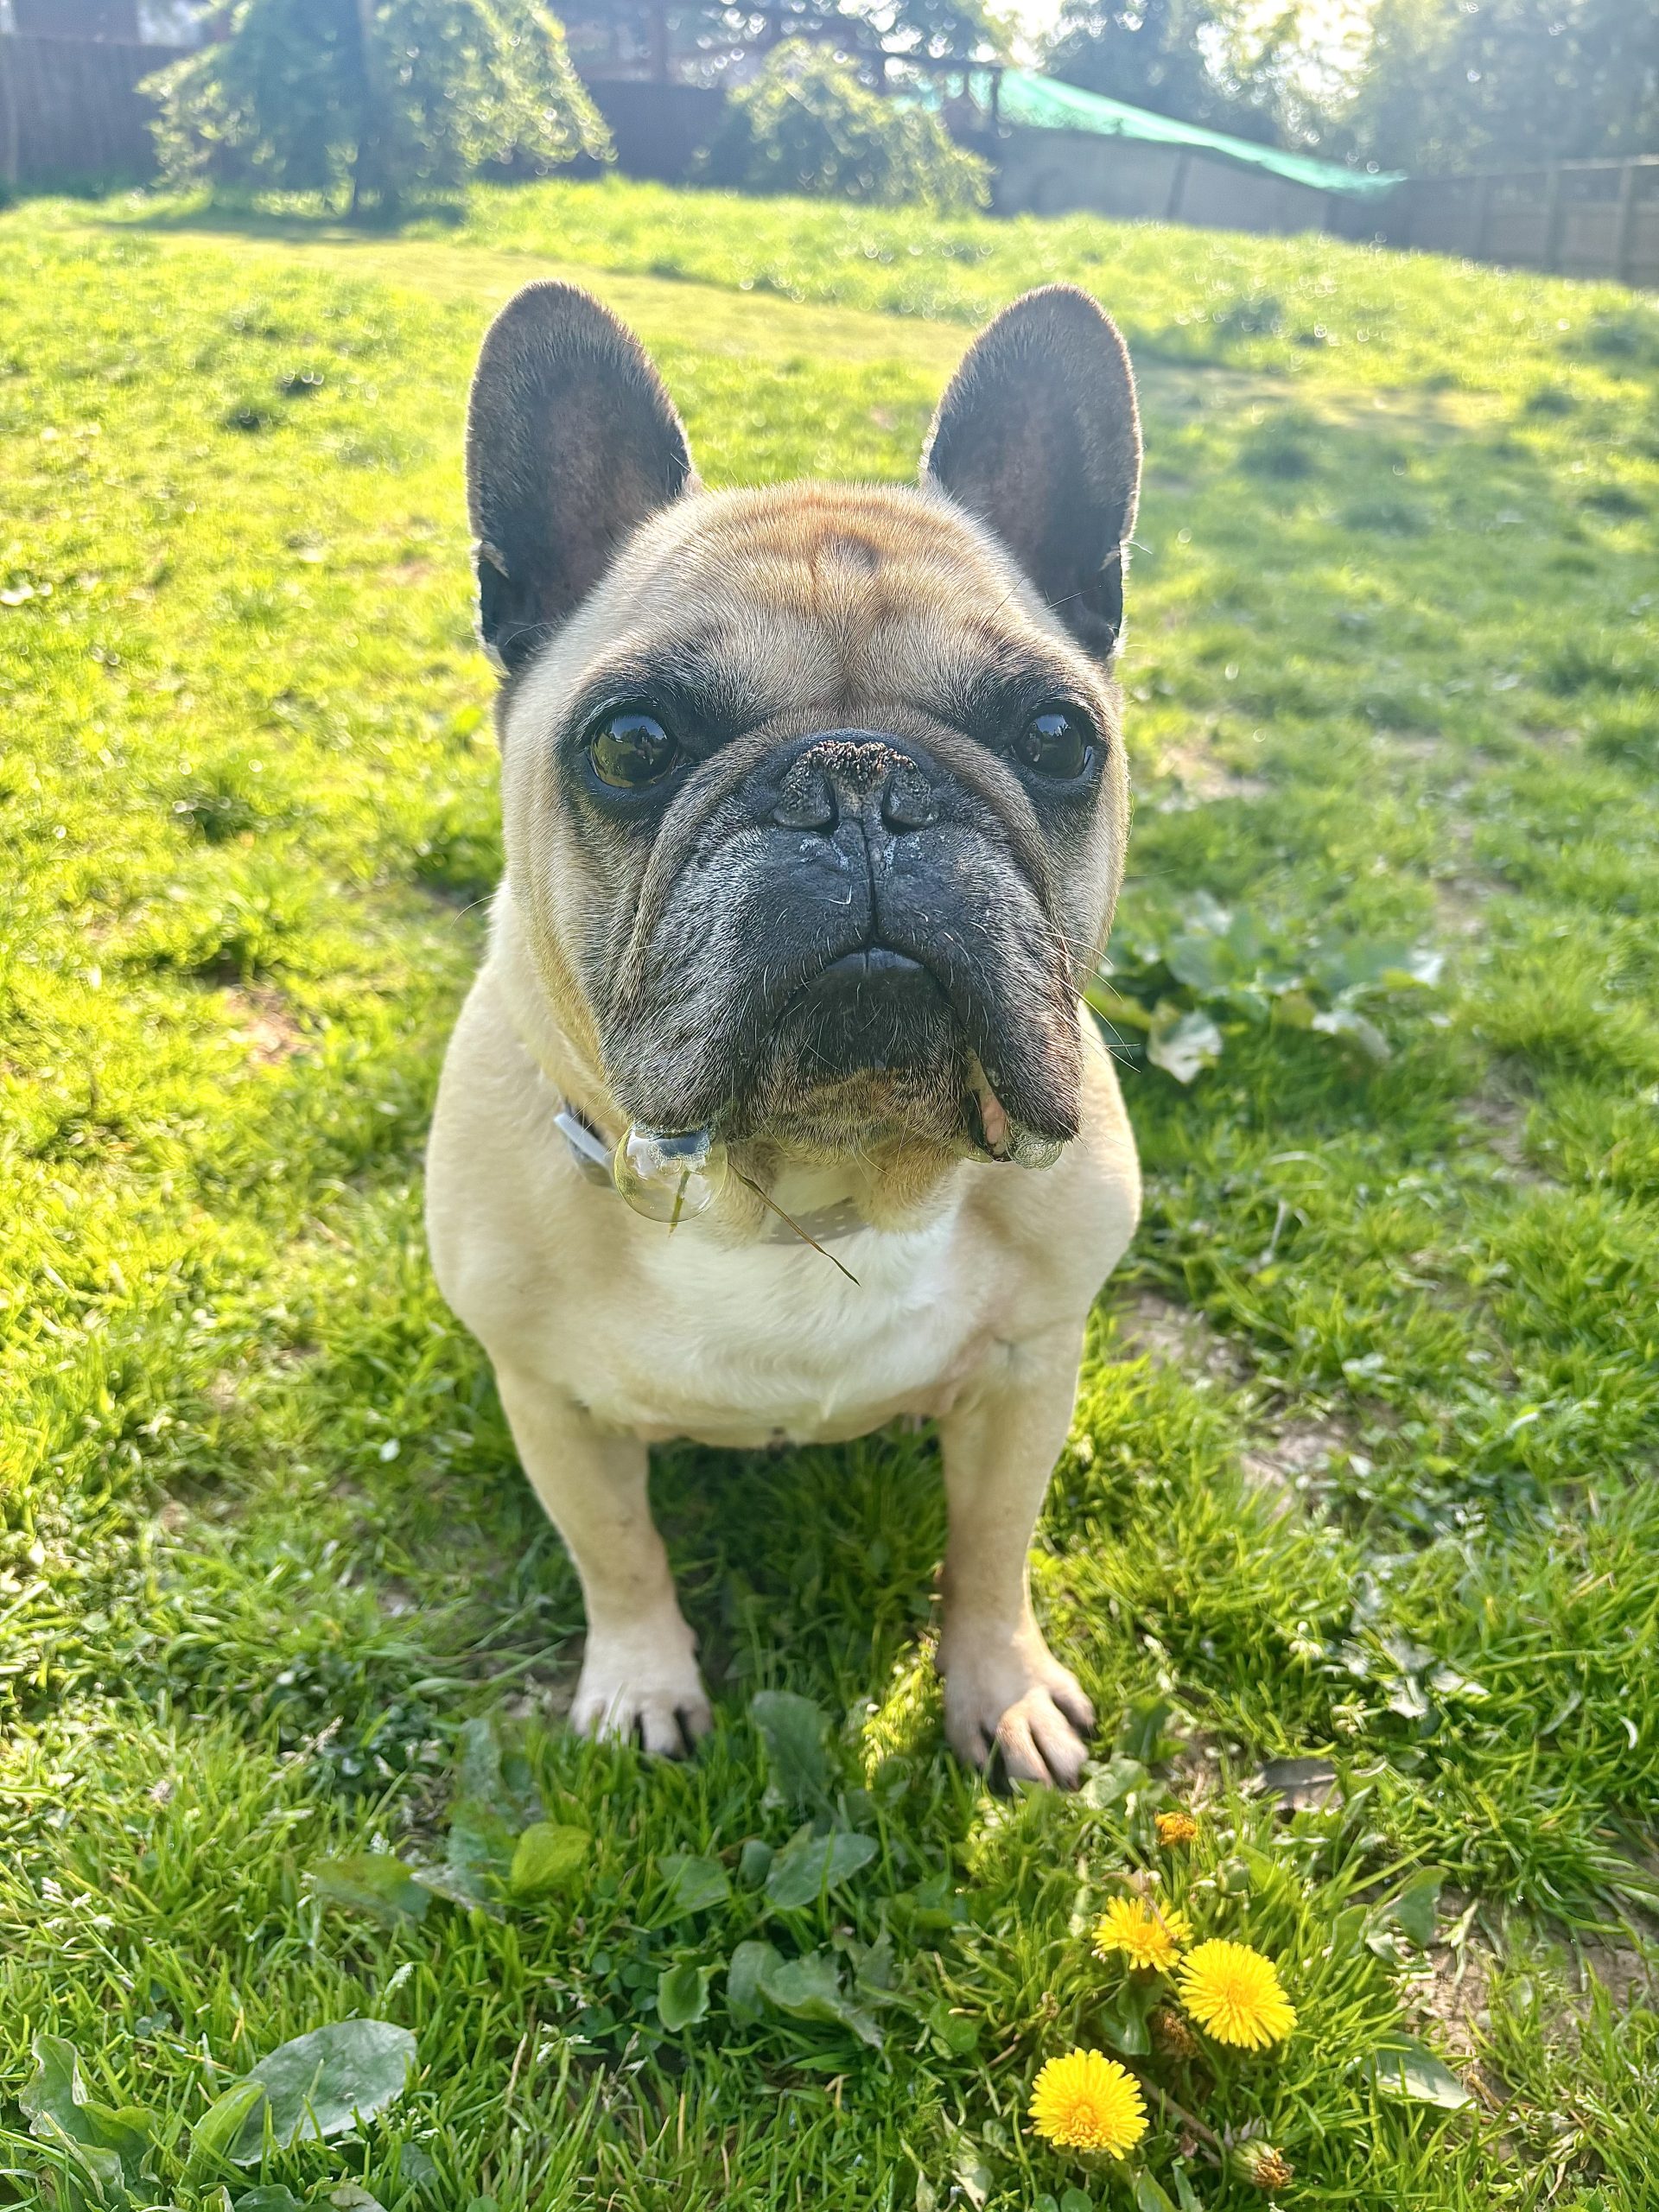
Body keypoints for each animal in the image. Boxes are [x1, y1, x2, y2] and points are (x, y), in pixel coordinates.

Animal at [426, 278, 1142, 1789]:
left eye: (1058, 738)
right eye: (631, 744)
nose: (860, 776)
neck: (813, 1187)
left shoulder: (1030, 1373)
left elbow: (992, 1547)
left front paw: (1001, 1687)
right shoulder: (551, 1405)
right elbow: (619, 1553)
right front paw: (642, 1685)